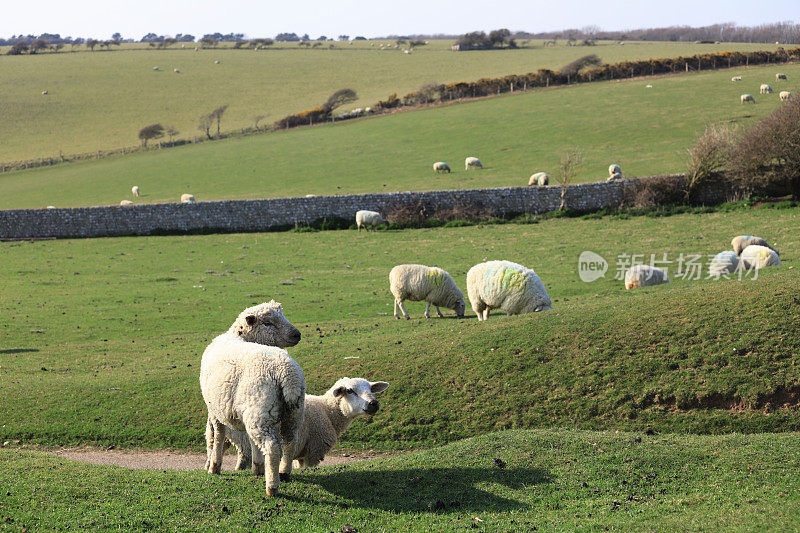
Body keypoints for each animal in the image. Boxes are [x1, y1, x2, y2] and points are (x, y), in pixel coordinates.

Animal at [200, 300, 304, 494]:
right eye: (267, 323)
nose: (297, 334)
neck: (237, 337)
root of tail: (287, 374)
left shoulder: (215, 409)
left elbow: (218, 436)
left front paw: (214, 467)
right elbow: (248, 441)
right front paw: (257, 467)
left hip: (261, 411)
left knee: (272, 448)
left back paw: (272, 486)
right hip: (291, 412)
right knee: (290, 441)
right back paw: (284, 473)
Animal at [212, 378, 388, 470]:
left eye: (370, 389)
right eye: (350, 391)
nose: (373, 403)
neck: (327, 411)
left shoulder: (301, 452)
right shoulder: (314, 450)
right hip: (244, 441)